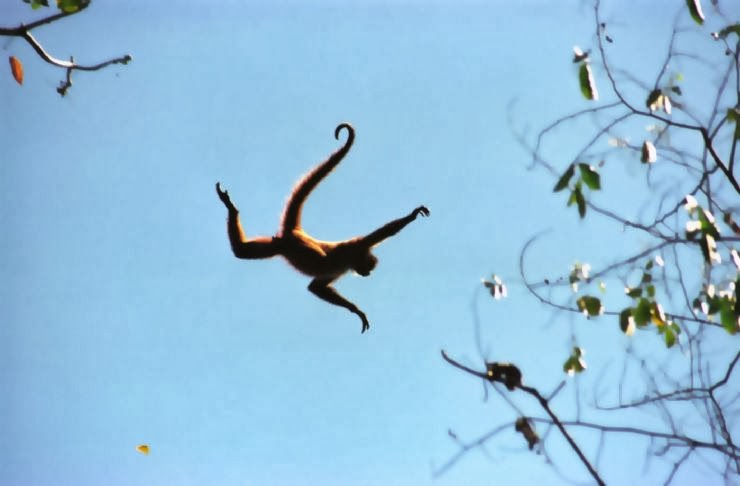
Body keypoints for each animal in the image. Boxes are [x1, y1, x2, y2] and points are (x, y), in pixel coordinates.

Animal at [215, 123, 429, 333]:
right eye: (367, 267)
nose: (368, 274)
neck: (354, 257)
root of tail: (298, 232)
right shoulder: (355, 248)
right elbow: (384, 232)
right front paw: (412, 215)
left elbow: (316, 287)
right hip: (292, 245)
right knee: (318, 257)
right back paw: (232, 208)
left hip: (280, 246)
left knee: (241, 252)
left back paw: (232, 211)